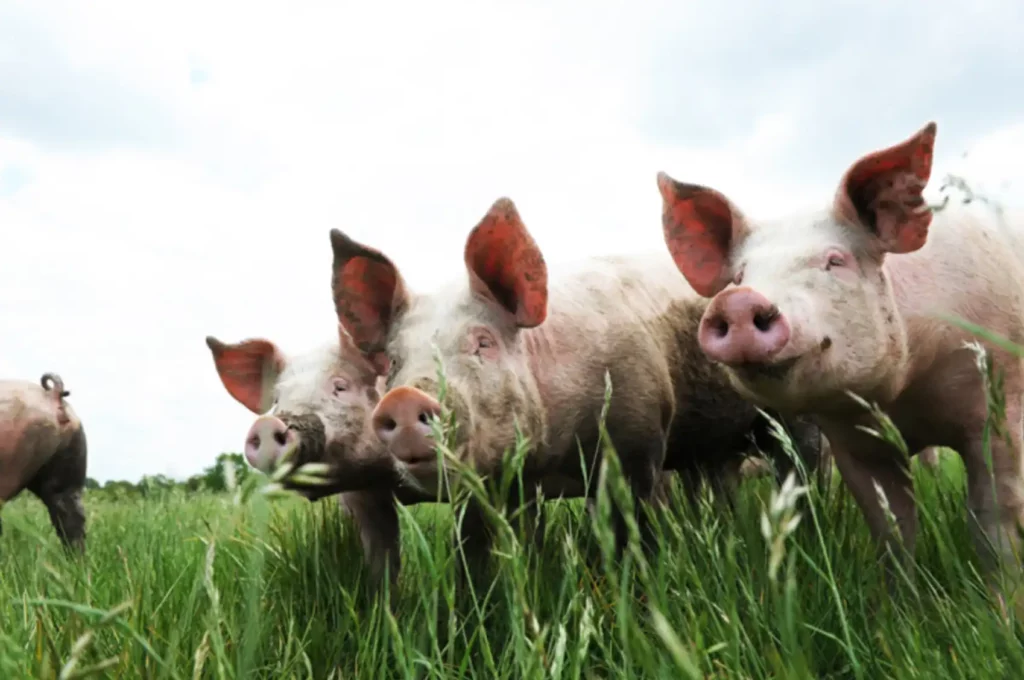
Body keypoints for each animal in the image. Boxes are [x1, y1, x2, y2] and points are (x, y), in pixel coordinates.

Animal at [329, 197, 823, 569]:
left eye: (483, 342)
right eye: (394, 360)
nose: (403, 397)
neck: (550, 463)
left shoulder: (636, 440)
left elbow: (633, 531)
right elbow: (478, 555)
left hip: (793, 411)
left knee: (800, 465)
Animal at [655, 119, 1024, 614]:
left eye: (835, 260)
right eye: (740, 276)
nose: (738, 300)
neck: (902, 400)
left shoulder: (998, 403)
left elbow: (993, 521)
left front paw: (1001, 616)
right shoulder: (852, 440)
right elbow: (890, 527)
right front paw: (895, 615)